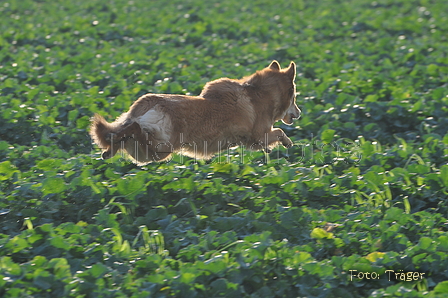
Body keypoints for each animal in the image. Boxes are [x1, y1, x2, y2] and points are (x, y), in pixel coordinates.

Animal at [89, 60, 300, 163]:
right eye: (295, 96)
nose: (299, 113)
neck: (258, 94)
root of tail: (144, 105)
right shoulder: (257, 136)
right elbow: (279, 132)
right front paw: (287, 142)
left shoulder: (253, 141)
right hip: (160, 150)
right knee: (135, 130)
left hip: (143, 154)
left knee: (123, 136)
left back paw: (109, 149)